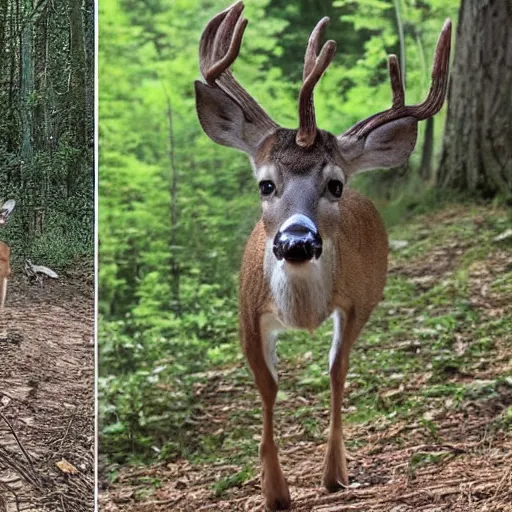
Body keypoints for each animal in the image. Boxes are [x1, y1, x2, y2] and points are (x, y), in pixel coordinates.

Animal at [194, 3, 450, 508]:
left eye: (335, 184)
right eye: (265, 184)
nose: (296, 241)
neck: (302, 312)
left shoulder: (356, 303)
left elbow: (336, 371)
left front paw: (334, 473)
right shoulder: (246, 312)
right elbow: (268, 388)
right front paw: (275, 490)